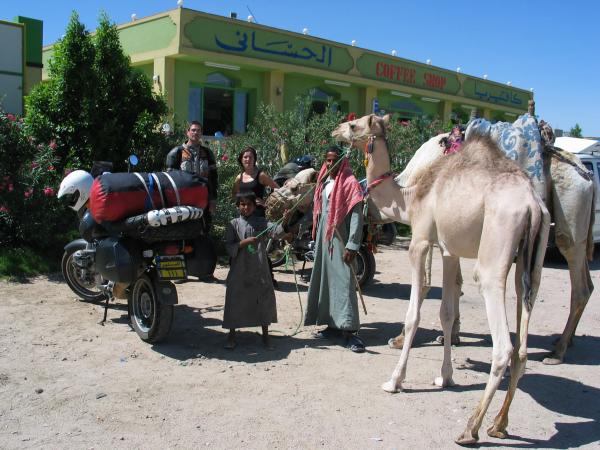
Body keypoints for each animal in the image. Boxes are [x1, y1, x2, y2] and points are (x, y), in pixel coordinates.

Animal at [330, 114, 552, 444]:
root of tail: (532, 205)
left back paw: (470, 429)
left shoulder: (420, 240)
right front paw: (445, 377)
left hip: (495, 250)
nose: (335, 130)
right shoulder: (449, 250)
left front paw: (394, 380)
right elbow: (446, 313)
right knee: (523, 343)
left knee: (502, 344)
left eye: (355, 125)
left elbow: (414, 313)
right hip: (532, 261)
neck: (410, 198)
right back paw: (499, 424)